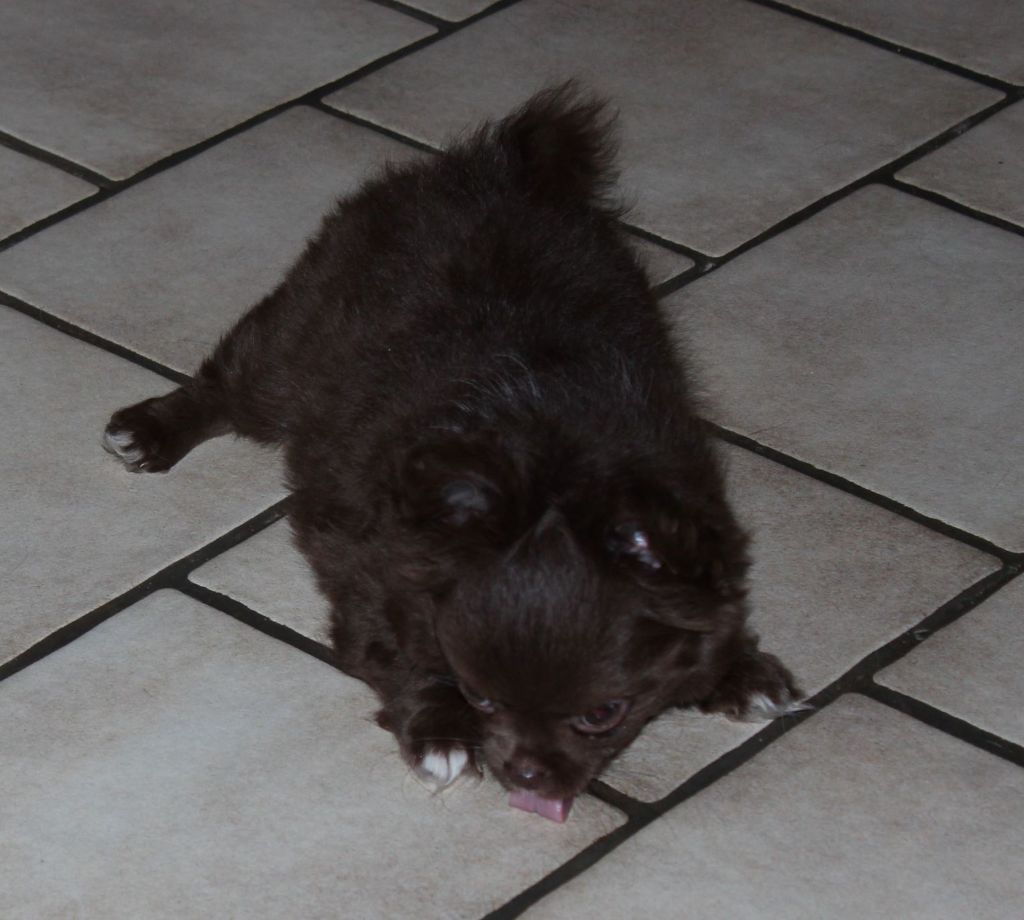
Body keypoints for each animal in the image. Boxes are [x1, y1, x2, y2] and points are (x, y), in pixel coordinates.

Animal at [103, 83, 803, 822]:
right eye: (480, 697)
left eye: (603, 714)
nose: (525, 775)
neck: (557, 458)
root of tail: (493, 166)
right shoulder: (373, 569)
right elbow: (403, 652)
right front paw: (439, 729)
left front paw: (737, 670)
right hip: (295, 343)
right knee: (229, 386)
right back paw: (149, 432)